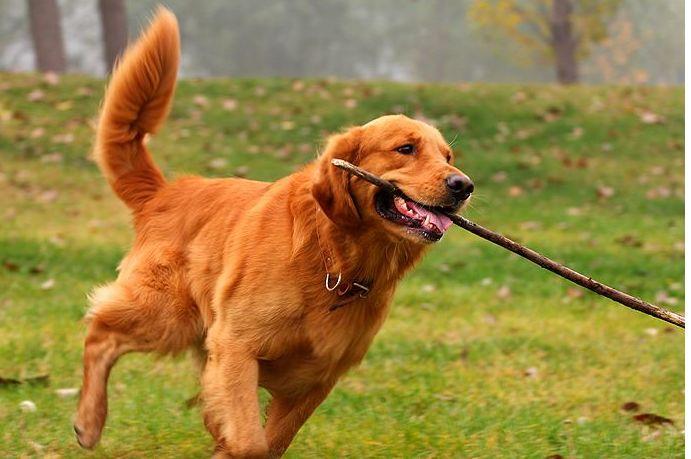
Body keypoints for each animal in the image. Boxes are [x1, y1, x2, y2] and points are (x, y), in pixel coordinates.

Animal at [75, 8, 476, 459]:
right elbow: (251, 442)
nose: (464, 185)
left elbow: (269, 441)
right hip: (167, 316)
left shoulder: (315, 379)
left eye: (447, 156)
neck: (334, 258)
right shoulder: (236, 347)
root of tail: (166, 190)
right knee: (100, 334)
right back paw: (88, 422)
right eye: (406, 149)